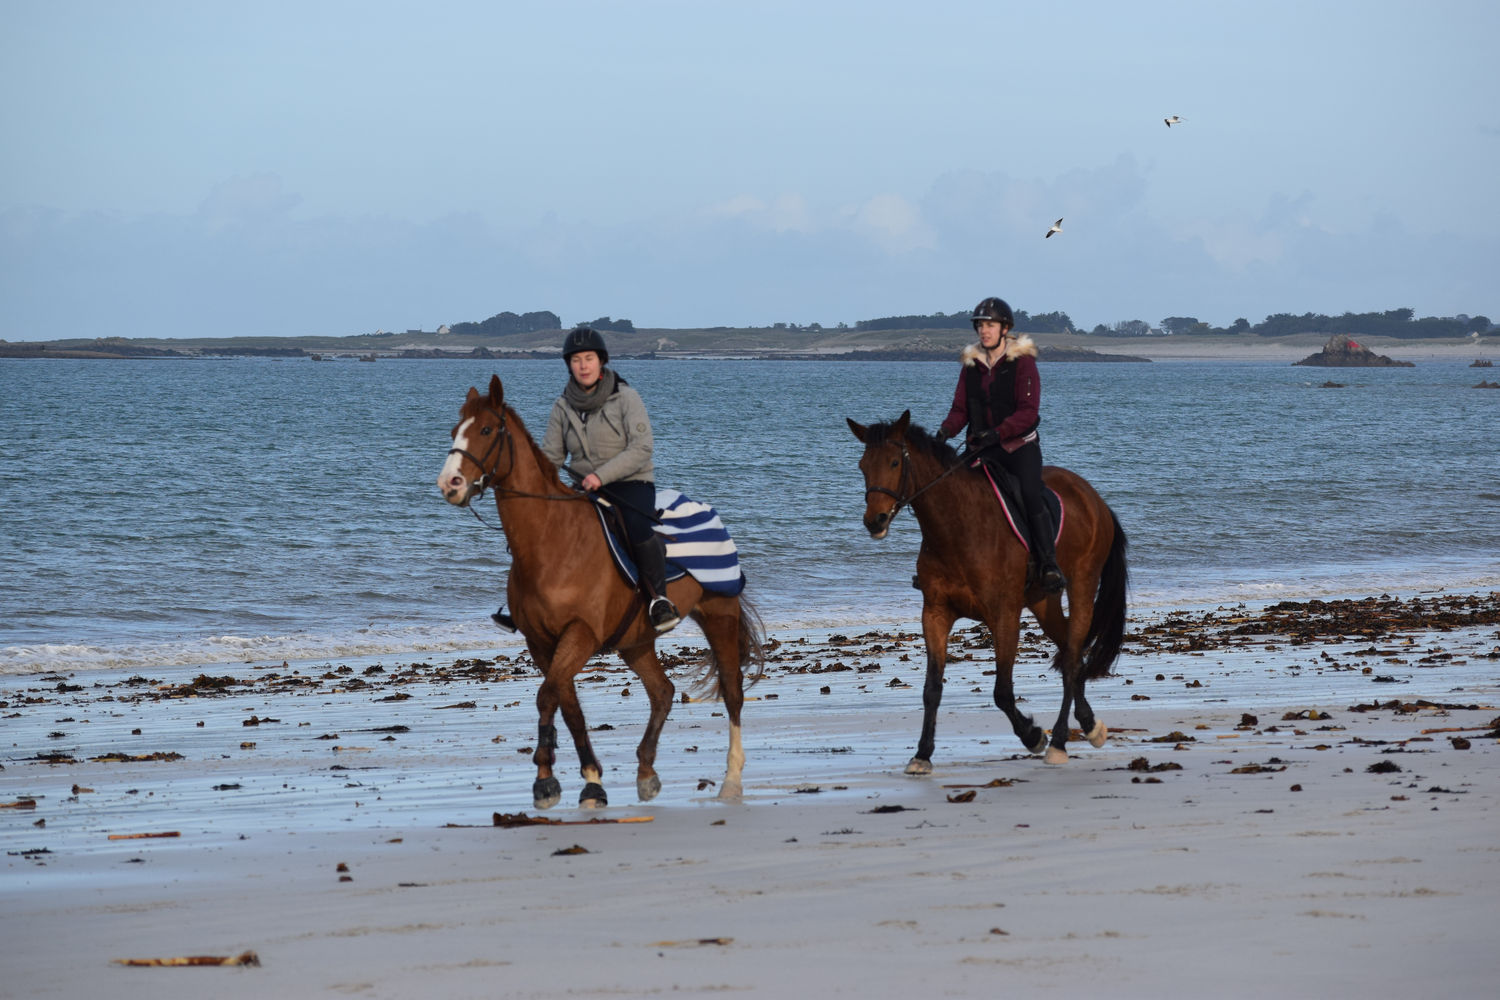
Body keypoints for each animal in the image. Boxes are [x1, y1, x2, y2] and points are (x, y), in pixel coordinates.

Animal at [435, 371, 762, 809]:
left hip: (719, 615)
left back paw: (731, 780)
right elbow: (567, 705)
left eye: (487, 430)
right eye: (456, 431)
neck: (552, 541)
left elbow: (548, 696)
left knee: (732, 691)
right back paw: (646, 772)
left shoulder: (581, 634)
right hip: (636, 641)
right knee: (662, 691)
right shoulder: (543, 643)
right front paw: (588, 781)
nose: (449, 483)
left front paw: (547, 782)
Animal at [846, 410, 1128, 773]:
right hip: (1043, 602)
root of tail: (1094, 498)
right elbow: (932, 689)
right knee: (1073, 654)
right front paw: (922, 754)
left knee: (1070, 662)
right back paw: (1091, 726)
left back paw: (1059, 743)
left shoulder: (1003, 615)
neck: (957, 527)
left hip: (1081, 586)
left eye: (895, 462)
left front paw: (1033, 736)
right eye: (863, 465)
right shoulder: (935, 613)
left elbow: (1002, 692)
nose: (874, 521)